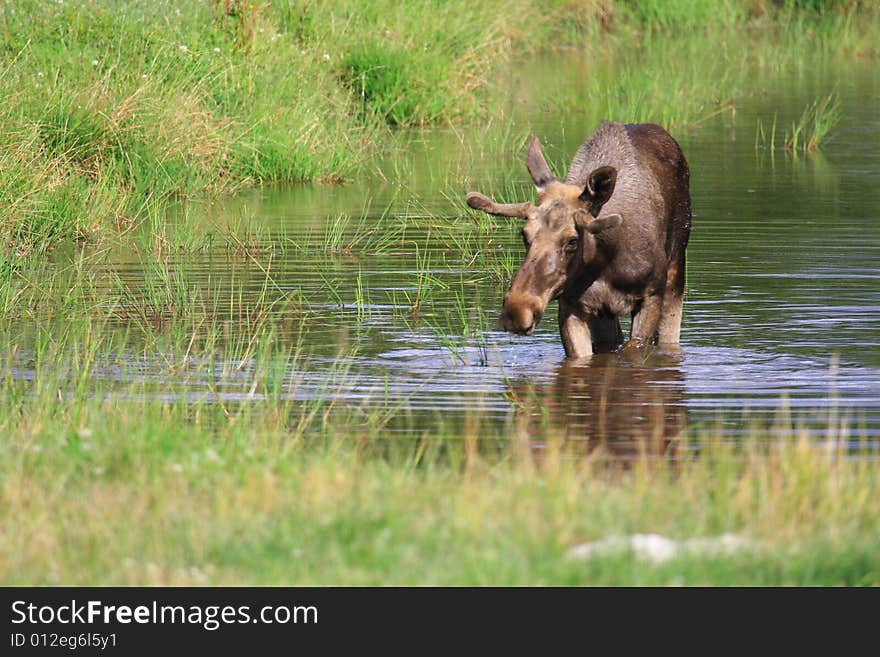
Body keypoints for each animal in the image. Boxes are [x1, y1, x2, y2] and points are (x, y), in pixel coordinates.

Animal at [470, 123, 692, 358]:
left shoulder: (651, 295)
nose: (517, 311)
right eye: (524, 234)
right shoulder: (573, 305)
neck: (607, 259)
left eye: (572, 241)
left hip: (675, 273)